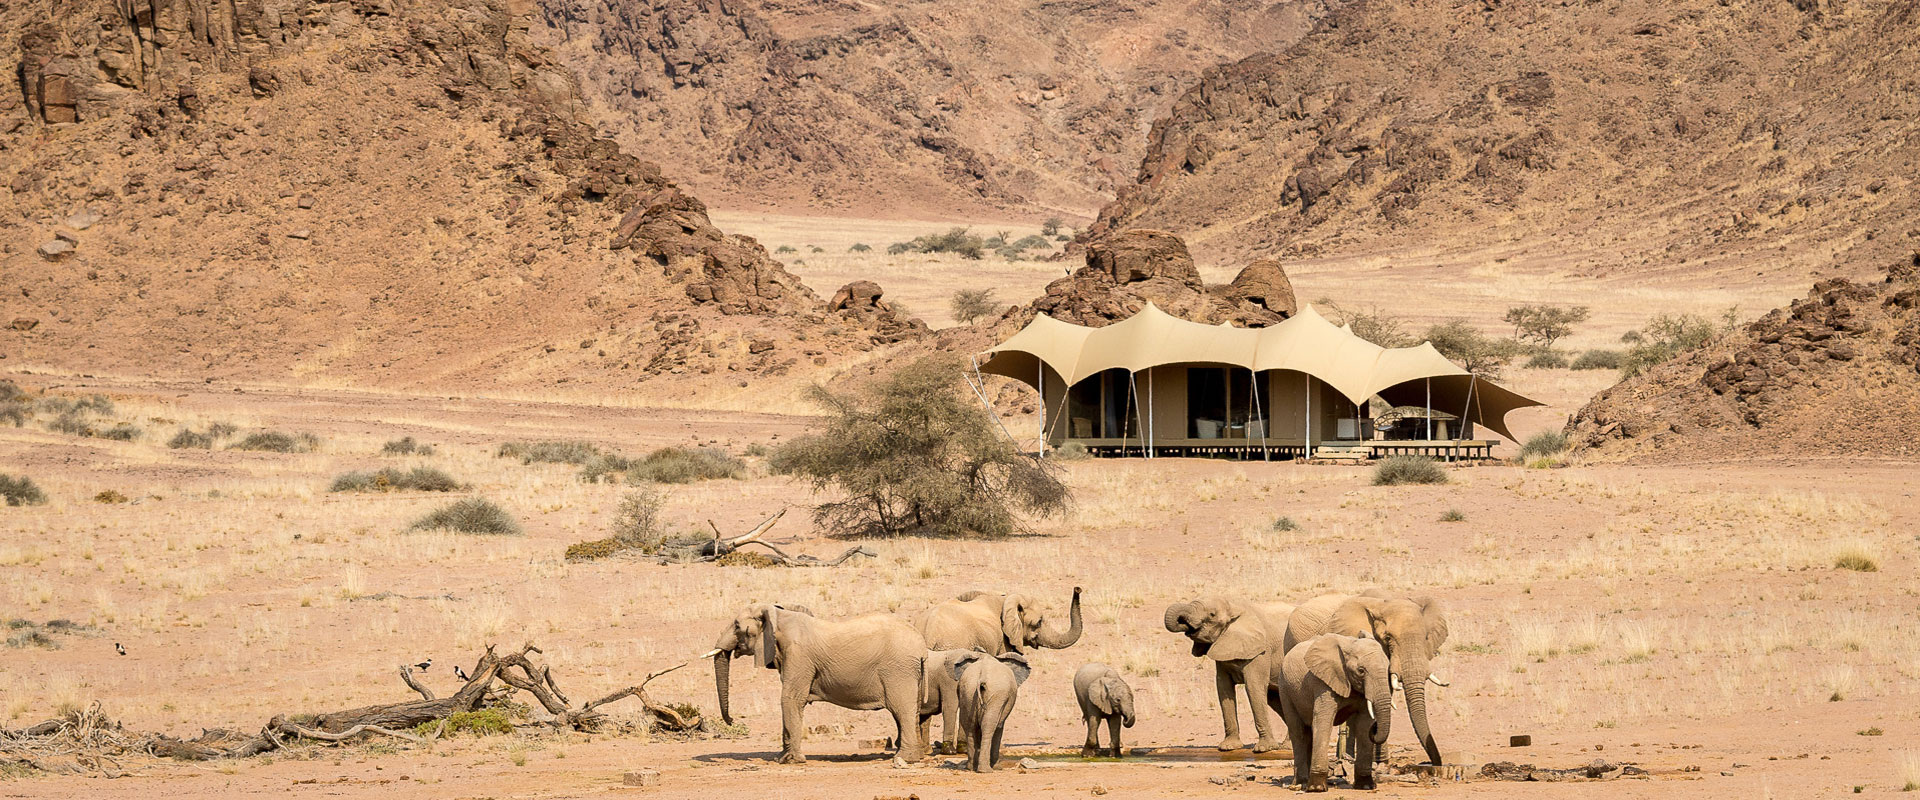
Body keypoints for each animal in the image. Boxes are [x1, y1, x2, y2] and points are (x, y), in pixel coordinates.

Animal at [721, 602, 929, 763]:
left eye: (737, 626)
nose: (732, 721)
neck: (779, 615)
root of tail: (922, 647)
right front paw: (781, 758)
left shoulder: (798, 656)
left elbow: (790, 699)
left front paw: (789, 761)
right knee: (910, 712)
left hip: (899, 670)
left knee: (901, 710)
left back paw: (904, 759)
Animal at [913, 587, 1082, 748]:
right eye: (1039, 622)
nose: (1077, 589)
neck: (1007, 599)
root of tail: (928, 630)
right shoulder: (1004, 640)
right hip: (953, 645)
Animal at [1159, 594, 1297, 752]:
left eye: (1212, 614)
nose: (1185, 624)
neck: (1233, 607)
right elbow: (1223, 688)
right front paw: (1228, 747)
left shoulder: (1261, 650)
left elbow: (1253, 687)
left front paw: (1263, 749)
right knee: (1273, 697)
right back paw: (1288, 746)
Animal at [1274, 633, 1397, 790]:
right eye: (1361, 671)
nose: (1375, 727)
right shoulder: (1322, 682)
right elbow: (1323, 721)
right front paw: (1317, 788)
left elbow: (1364, 726)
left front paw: (1366, 786)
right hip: (1285, 688)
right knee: (1298, 731)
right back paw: (1302, 783)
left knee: (1308, 733)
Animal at [1282, 590, 1443, 763]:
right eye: (1388, 638)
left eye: (1426, 637)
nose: (1433, 764)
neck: (1382, 603)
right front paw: (1374, 760)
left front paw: (1380, 761)